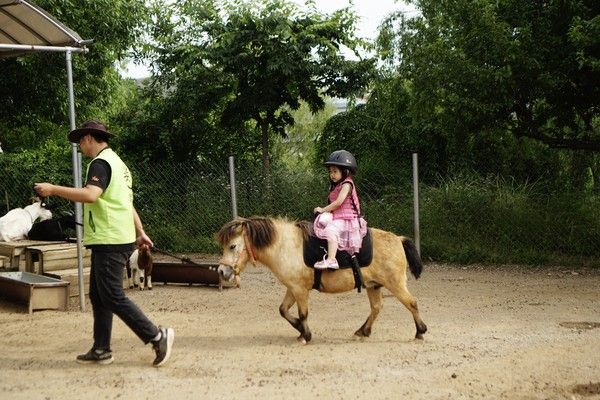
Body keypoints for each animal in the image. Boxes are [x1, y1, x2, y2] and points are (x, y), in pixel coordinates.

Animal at [216, 216, 426, 344]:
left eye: (232, 246)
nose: (221, 271)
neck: (286, 247)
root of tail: (398, 239)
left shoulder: (300, 290)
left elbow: (303, 314)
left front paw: (305, 335)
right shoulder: (292, 288)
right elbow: (283, 310)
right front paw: (299, 329)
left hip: (395, 284)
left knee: (412, 303)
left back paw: (420, 332)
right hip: (373, 286)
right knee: (376, 307)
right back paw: (362, 331)